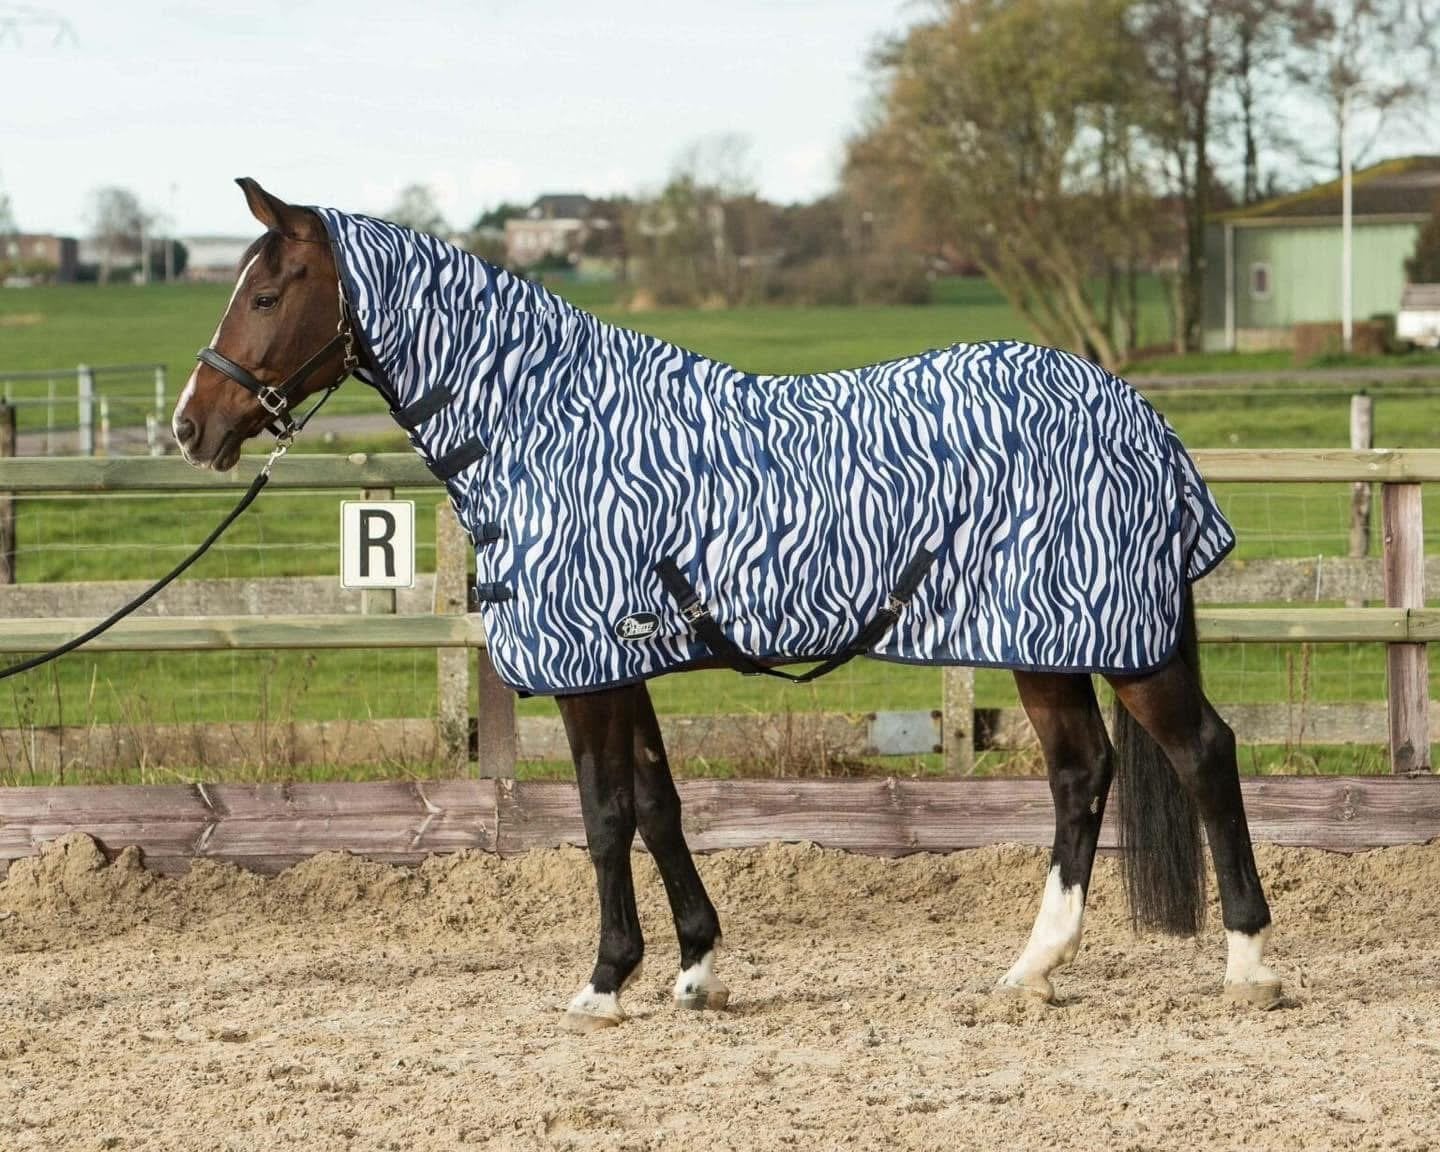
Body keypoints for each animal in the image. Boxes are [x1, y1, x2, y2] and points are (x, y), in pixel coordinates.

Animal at [172, 178, 1281, 1031]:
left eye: (265, 292)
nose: (192, 426)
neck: (548, 425)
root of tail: (1138, 414)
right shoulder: (627, 661)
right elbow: (659, 806)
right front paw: (696, 969)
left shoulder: (588, 668)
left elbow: (605, 814)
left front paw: (605, 980)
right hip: (1046, 643)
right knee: (1080, 773)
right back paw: (1032, 970)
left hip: (1125, 644)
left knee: (1203, 754)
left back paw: (1250, 967)